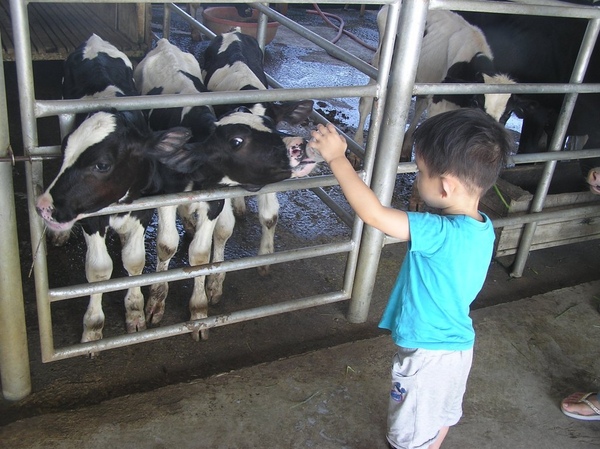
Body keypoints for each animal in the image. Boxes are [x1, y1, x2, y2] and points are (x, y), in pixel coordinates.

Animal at [202, 28, 314, 272]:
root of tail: (233, 32)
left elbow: (270, 216)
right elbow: (223, 226)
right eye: (236, 142)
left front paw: (265, 257)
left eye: (272, 132)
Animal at [356, 6, 516, 160]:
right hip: (380, 61)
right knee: (367, 101)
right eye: (476, 101)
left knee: (420, 106)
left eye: (508, 113)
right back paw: (358, 145)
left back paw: (406, 147)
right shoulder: (440, 102)